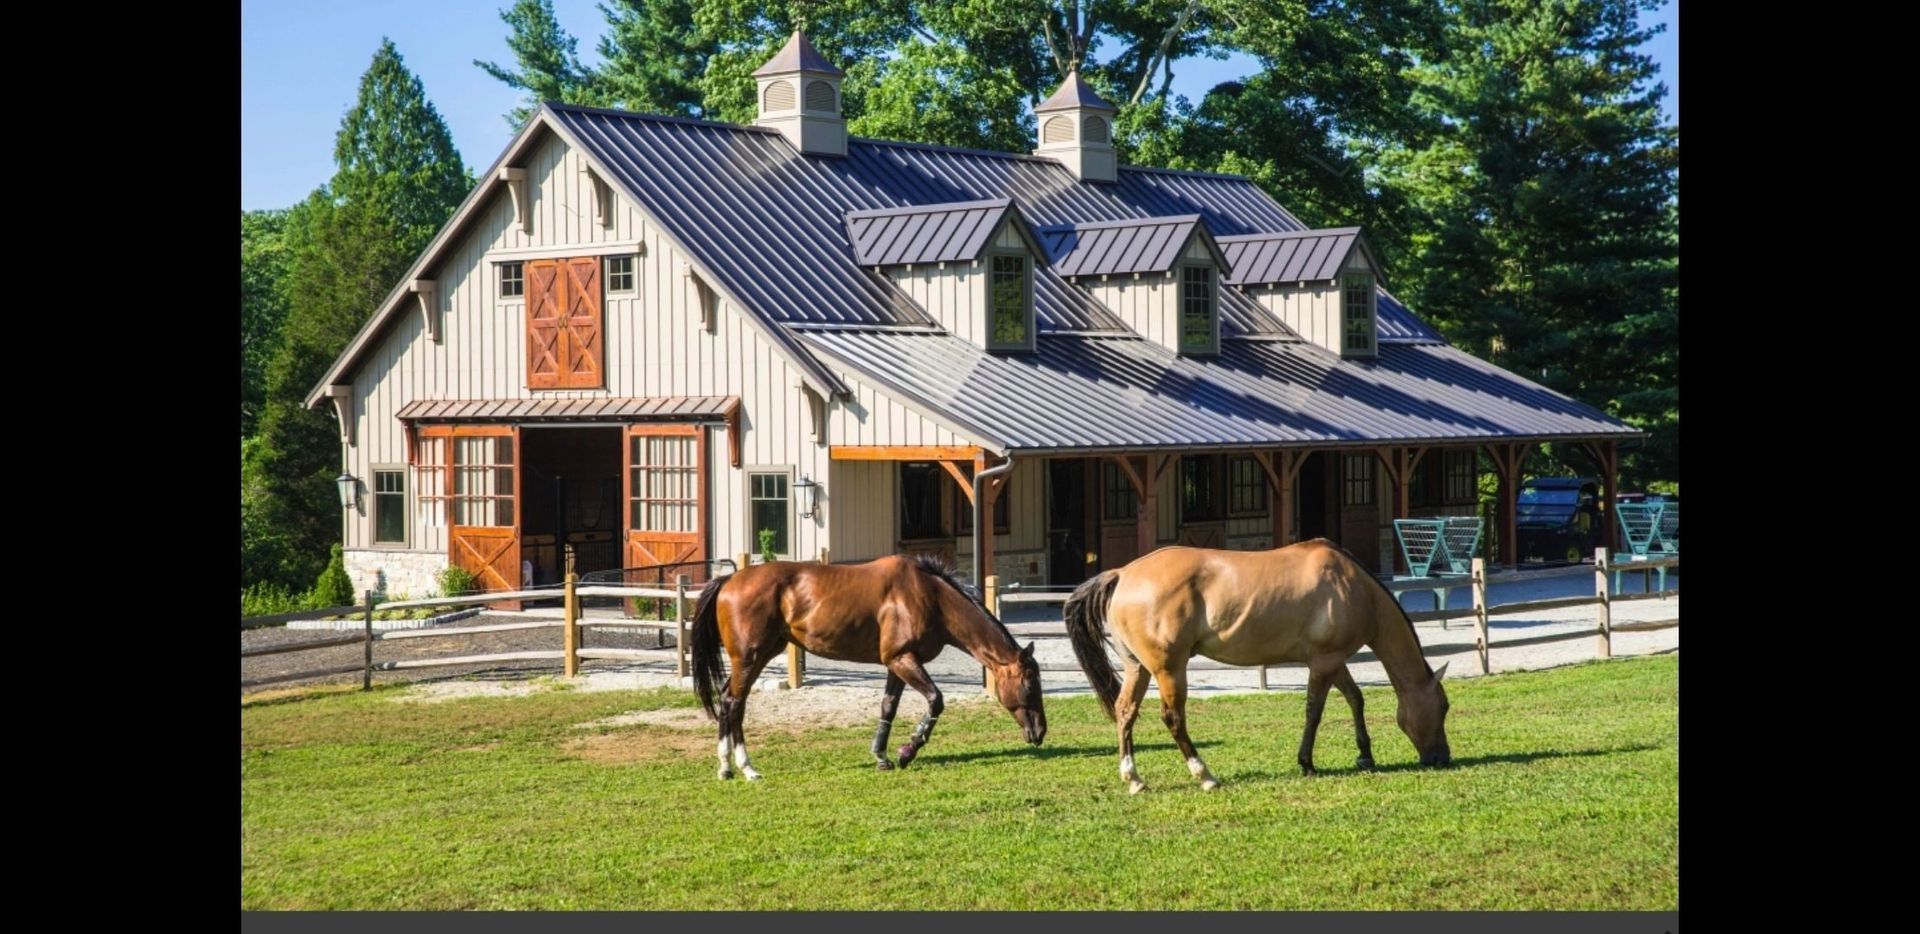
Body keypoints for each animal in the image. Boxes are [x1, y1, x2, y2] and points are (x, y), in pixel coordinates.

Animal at [687, 553, 1046, 780]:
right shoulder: (903, 660)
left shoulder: (896, 664)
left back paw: (727, 767)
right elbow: (936, 700)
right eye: (1030, 684)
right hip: (750, 658)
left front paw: (882, 756)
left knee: (729, 701)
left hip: (758, 656)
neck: (929, 596)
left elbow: (888, 707)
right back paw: (744, 767)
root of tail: (729, 579)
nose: (1040, 732)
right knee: (734, 703)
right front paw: (907, 750)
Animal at [1063, 539, 1452, 794]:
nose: (1442, 758)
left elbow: (1356, 700)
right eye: (1444, 707)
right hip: (1170, 670)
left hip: (1138, 669)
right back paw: (1205, 776)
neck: (1353, 587)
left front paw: (1365, 755)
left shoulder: (1333, 661)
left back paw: (1134, 779)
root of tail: (1123, 573)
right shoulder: (1324, 662)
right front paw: (1307, 762)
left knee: (1125, 712)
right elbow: (1314, 711)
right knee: (1173, 719)